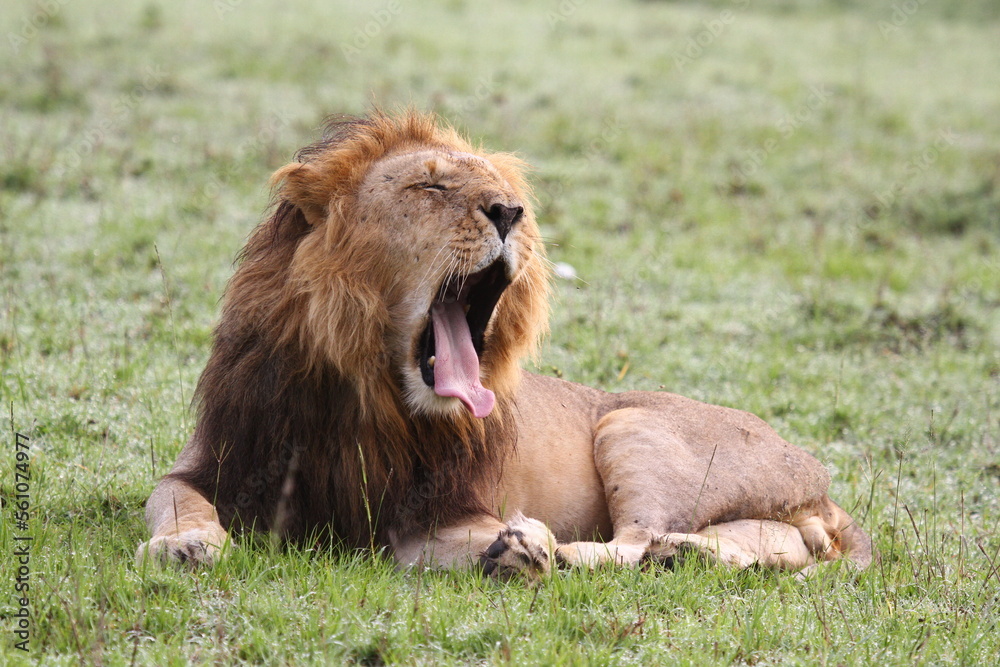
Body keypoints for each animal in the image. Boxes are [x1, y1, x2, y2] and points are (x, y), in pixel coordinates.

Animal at [137, 111, 872, 578]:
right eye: (430, 184)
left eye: (506, 191)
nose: (509, 212)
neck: (364, 395)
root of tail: (816, 473)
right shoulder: (213, 461)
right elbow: (177, 501)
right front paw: (184, 547)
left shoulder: (437, 510)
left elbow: (453, 546)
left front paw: (522, 548)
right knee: (771, 545)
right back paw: (688, 554)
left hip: (627, 422)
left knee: (636, 537)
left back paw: (578, 552)